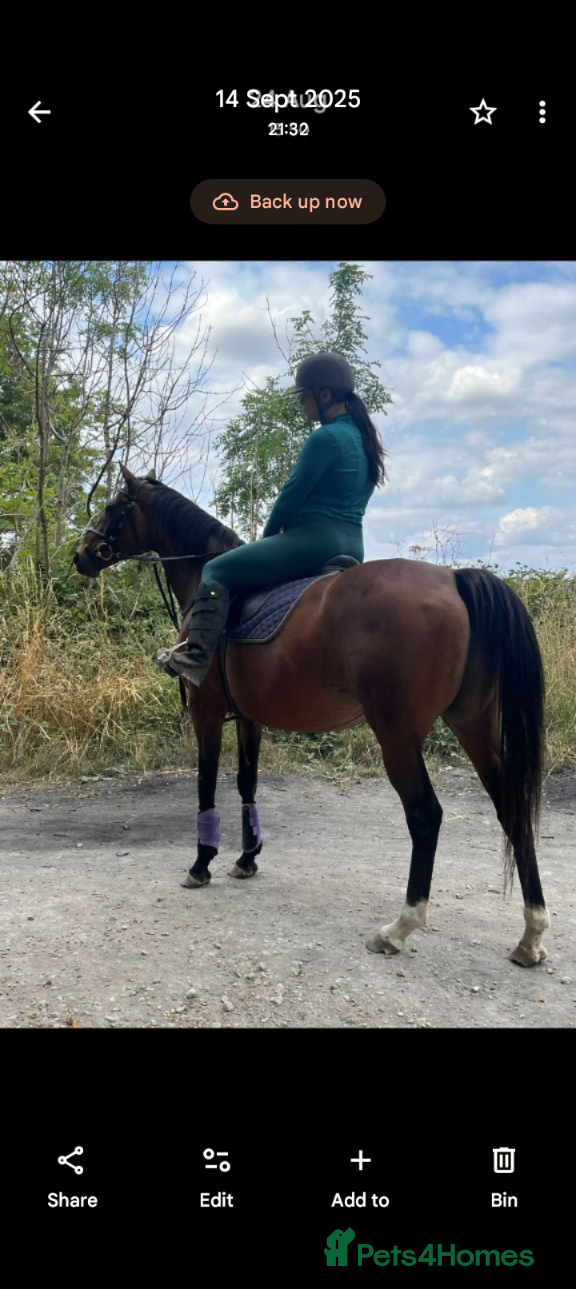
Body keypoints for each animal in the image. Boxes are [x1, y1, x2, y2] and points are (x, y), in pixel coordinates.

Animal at [74, 464, 550, 967]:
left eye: (113, 507)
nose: (80, 554)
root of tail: (453, 579)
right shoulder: (250, 718)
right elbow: (246, 783)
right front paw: (247, 859)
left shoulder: (206, 711)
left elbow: (205, 783)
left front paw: (202, 863)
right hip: (473, 724)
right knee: (511, 808)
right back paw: (531, 934)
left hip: (398, 736)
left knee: (425, 816)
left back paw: (399, 928)